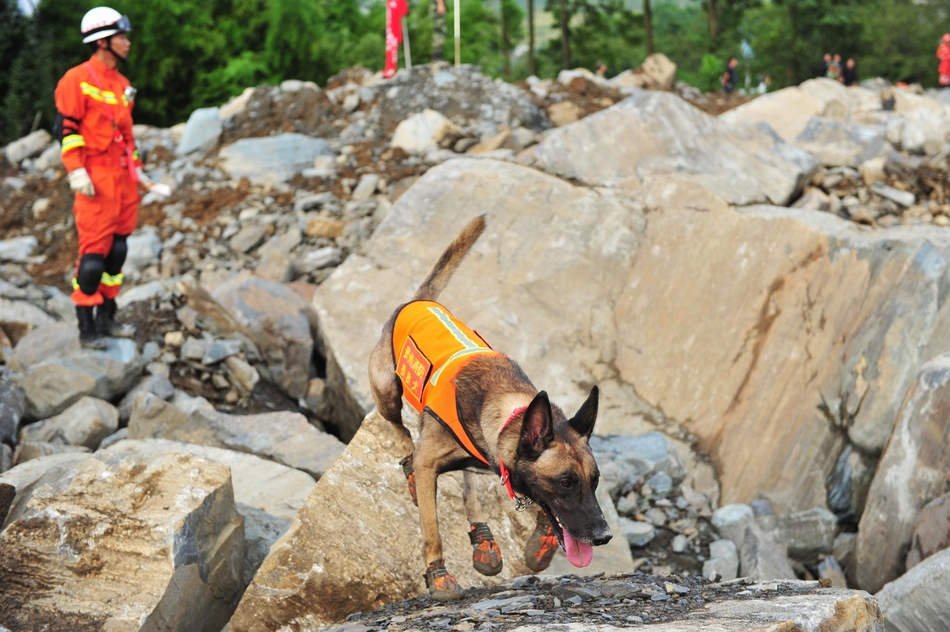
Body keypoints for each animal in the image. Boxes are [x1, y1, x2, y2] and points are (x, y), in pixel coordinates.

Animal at [368, 215, 612, 600]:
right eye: (565, 482)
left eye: (595, 480)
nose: (604, 536)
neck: (511, 411)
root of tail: (418, 301)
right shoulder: (429, 464)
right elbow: (432, 529)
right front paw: (438, 574)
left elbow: (545, 514)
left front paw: (541, 542)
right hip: (387, 394)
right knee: (402, 438)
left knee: (468, 488)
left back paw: (483, 537)